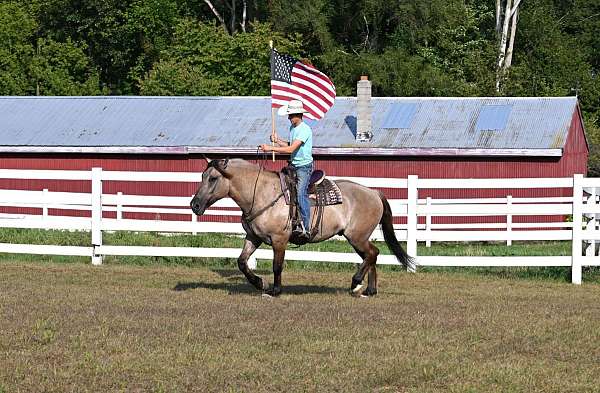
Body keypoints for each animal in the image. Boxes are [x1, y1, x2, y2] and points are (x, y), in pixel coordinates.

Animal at [190, 158, 414, 296]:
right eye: (202, 176)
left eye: (213, 178)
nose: (195, 205)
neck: (261, 193)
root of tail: (374, 192)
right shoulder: (254, 238)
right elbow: (242, 262)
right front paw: (261, 283)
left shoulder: (279, 240)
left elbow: (277, 265)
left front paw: (275, 290)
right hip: (358, 238)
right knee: (371, 256)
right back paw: (369, 290)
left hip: (357, 236)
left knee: (372, 253)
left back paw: (355, 282)